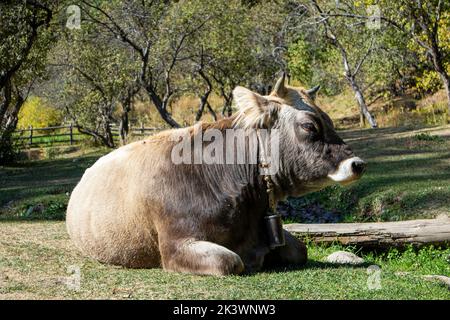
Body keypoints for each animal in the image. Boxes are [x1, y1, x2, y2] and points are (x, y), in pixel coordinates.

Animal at [66, 75, 366, 276]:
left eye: (329, 121)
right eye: (309, 126)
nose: (357, 164)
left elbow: (299, 250)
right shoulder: (175, 247)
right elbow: (230, 261)